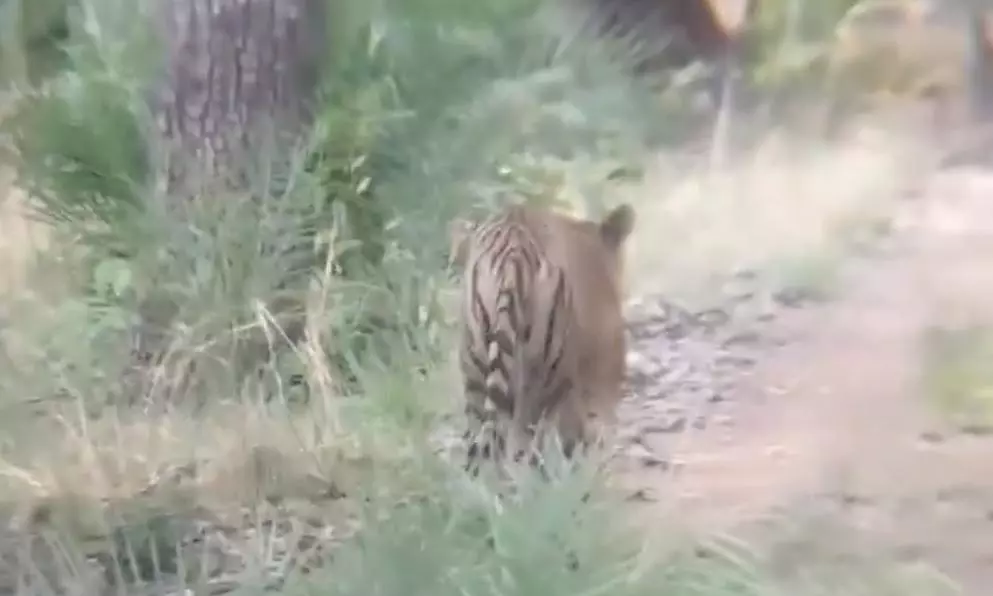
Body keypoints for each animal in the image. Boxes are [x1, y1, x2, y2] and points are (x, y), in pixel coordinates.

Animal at [448, 202, 636, 474]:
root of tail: (513, 251)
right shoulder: (601, 374)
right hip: (550, 379)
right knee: (533, 444)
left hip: (476, 373)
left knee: (487, 441)